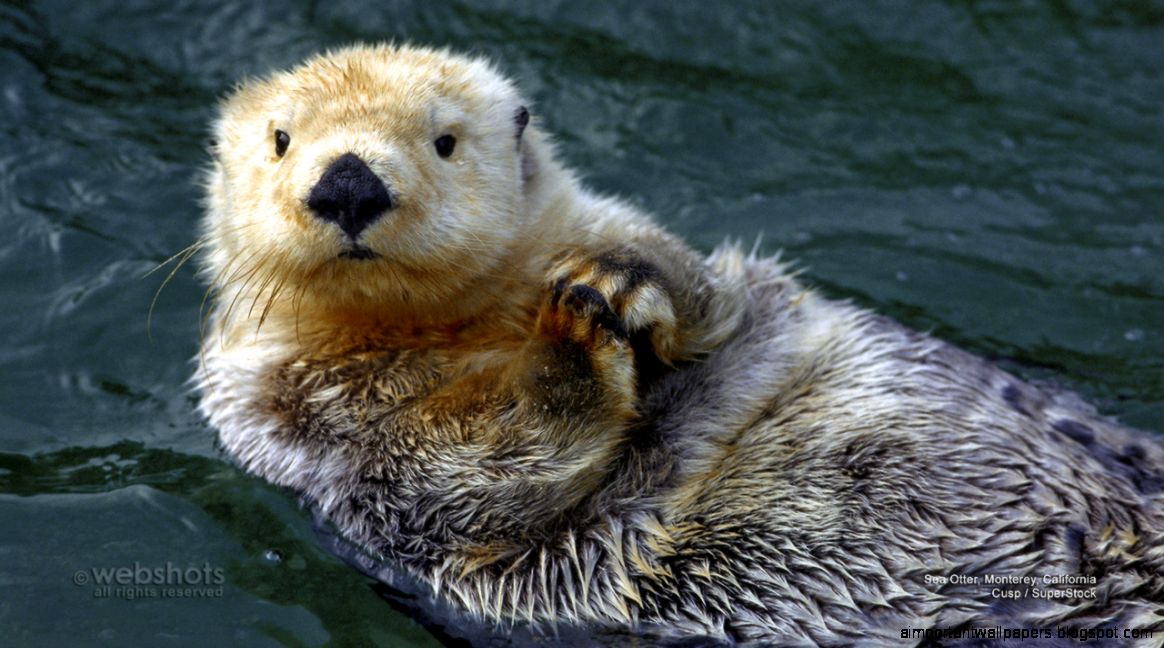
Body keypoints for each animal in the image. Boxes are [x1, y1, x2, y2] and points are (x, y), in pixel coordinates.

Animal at [196, 44, 1164, 645]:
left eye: (444, 141)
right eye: (281, 140)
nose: (348, 182)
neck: (456, 331)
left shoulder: (681, 270)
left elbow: (714, 297)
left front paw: (618, 282)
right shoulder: (301, 424)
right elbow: (469, 471)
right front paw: (573, 339)